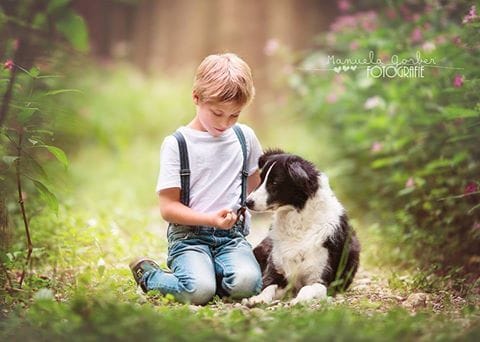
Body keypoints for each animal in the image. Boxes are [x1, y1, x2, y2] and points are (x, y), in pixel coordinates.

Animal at [246, 150, 358, 304]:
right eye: (261, 179)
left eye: (274, 182)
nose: (247, 202)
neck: (297, 222)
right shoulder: (278, 271)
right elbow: (268, 286)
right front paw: (259, 298)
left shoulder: (322, 280)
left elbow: (307, 288)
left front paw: (298, 301)